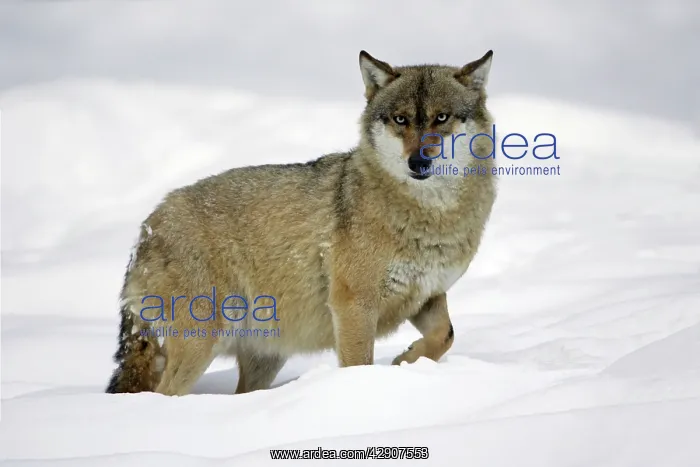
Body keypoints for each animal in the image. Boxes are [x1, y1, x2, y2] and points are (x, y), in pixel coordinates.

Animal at [106, 50, 497, 395]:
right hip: (202, 343)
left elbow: (446, 334)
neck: (431, 217)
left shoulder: (426, 295)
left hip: (263, 358)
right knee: (163, 394)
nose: (418, 162)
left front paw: (407, 360)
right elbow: (359, 364)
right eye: (401, 120)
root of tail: (146, 229)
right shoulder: (353, 305)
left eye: (441, 118)